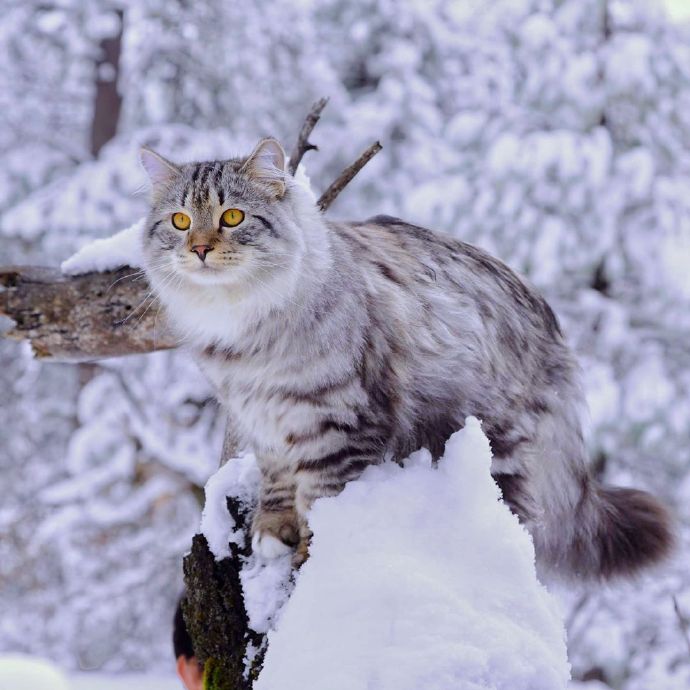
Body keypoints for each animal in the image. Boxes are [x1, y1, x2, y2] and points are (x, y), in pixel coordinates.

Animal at [140, 134, 672, 576]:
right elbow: (277, 479)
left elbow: (321, 502)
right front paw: (272, 531)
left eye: (233, 217)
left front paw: (310, 562)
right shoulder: (261, 417)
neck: (240, 328)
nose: (200, 248)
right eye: (181, 221)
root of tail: (553, 325)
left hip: (498, 446)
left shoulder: (339, 423)